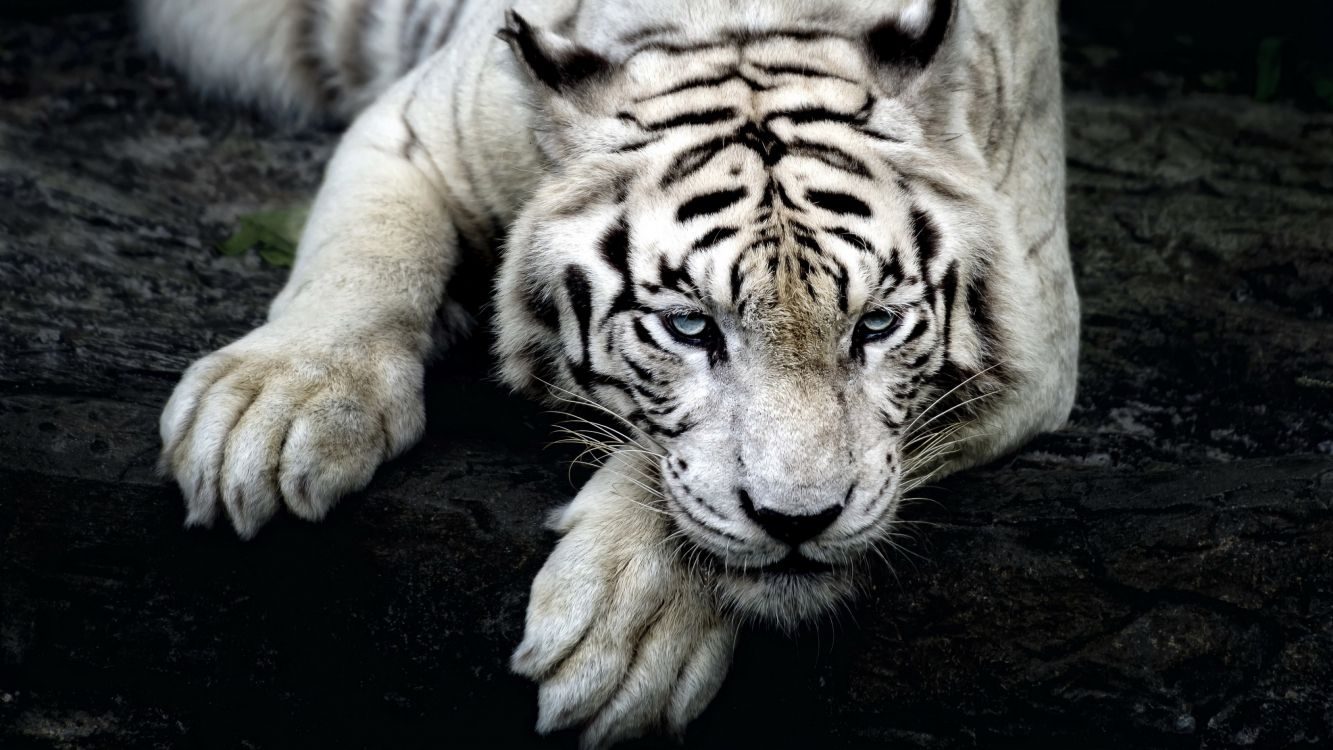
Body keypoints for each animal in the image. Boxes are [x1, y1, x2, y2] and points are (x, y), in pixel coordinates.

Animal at [140, 0, 1078, 745]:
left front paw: (625, 628)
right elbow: (364, 259)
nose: (798, 521)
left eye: (875, 324)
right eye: (689, 326)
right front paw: (267, 414)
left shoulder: (1038, 332)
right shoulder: (412, 129)